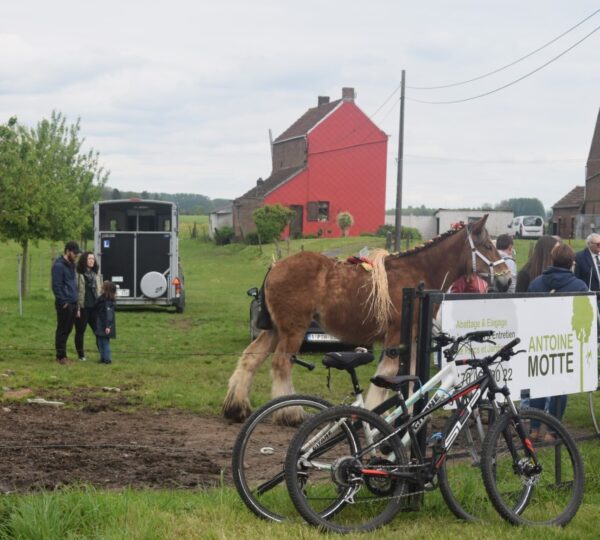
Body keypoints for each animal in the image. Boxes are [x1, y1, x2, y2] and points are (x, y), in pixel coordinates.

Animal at [223, 214, 508, 422]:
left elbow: (408, 375)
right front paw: (375, 412)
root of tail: (275, 267)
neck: (417, 273)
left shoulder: (413, 337)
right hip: (292, 331)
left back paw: (237, 406)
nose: (506, 277)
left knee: (250, 359)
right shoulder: (396, 336)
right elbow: (387, 374)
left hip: (274, 330)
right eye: (487, 246)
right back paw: (290, 413)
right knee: (281, 365)